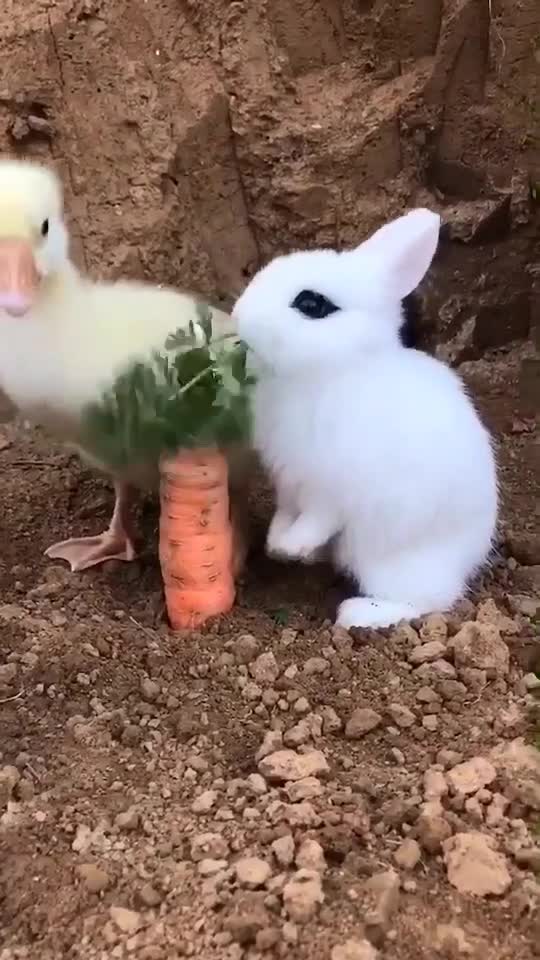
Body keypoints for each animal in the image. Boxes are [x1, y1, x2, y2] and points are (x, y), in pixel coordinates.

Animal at [232, 208, 498, 629]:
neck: (335, 370)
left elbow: (315, 520)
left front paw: (292, 548)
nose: (239, 317)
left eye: (312, 303)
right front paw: (276, 543)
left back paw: (357, 613)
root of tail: (468, 559)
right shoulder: (288, 481)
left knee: (430, 600)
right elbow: (286, 511)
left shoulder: (331, 489)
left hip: (392, 560)